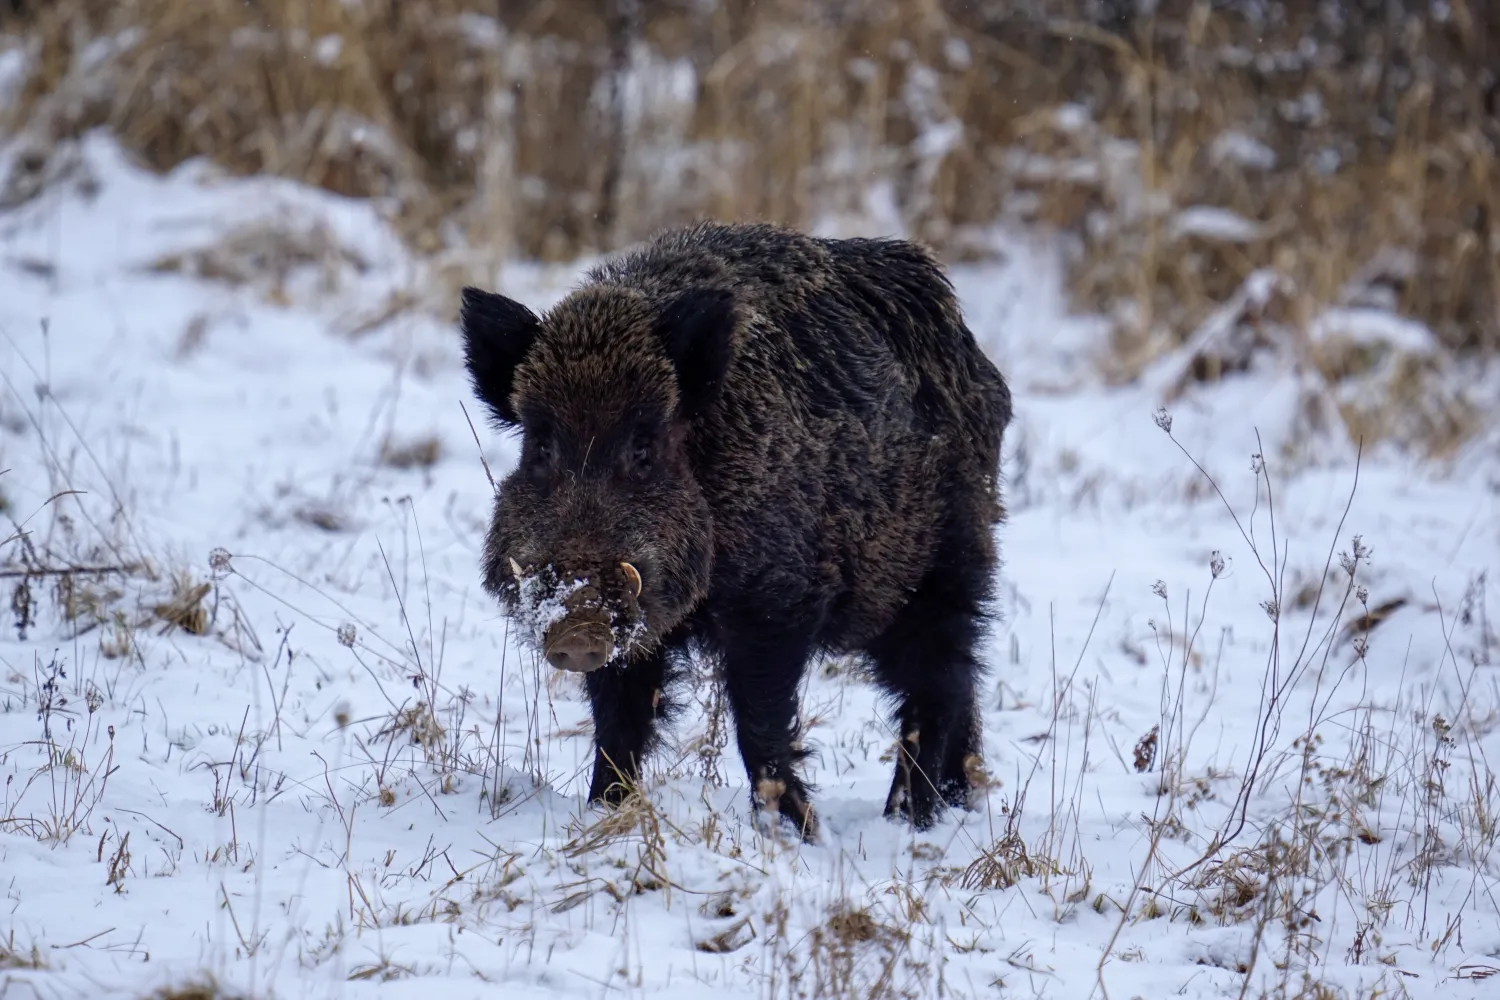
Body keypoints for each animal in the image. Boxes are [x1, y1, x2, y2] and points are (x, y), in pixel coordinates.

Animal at [460, 221, 1011, 838]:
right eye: (541, 447)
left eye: (643, 448)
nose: (578, 627)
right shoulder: (642, 629)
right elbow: (619, 723)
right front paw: (606, 811)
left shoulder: (777, 600)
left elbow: (759, 721)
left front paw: (797, 832)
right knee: (960, 684)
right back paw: (956, 803)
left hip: (946, 562)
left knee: (940, 678)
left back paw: (909, 817)